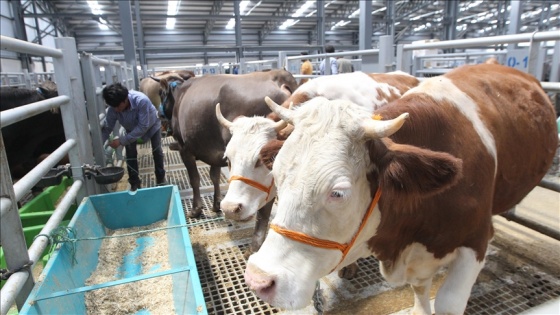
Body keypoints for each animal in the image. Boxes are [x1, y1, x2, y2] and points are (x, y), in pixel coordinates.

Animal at [155, 68, 300, 220]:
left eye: (161, 93)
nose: (159, 114)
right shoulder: (216, 153)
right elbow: (215, 176)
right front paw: (216, 204)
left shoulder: (184, 148)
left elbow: (194, 179)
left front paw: (196, 210)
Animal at [243, 63, 556, 314]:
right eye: (277, 174)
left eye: (338, 193)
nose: (258, 279)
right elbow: (420, 290)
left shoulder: (475, 240)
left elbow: (448, 302)